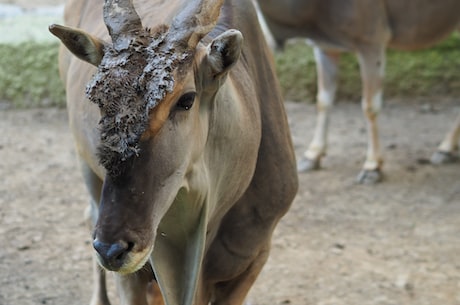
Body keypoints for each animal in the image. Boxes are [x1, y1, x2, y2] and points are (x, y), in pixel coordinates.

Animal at [48, 0, 296, 304]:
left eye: (186, 99)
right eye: (100, 100)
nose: (111, 249)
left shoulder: (254, 259)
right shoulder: (137, 274)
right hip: (86, 169)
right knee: (90, 213)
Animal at [258, 0, 460, 183]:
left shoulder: (371, 42)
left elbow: (370, 107)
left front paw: (372, 166)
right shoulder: (326, 48)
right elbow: (323, 101)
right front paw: (312, 155)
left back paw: (445, 148)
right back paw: (446, 149)